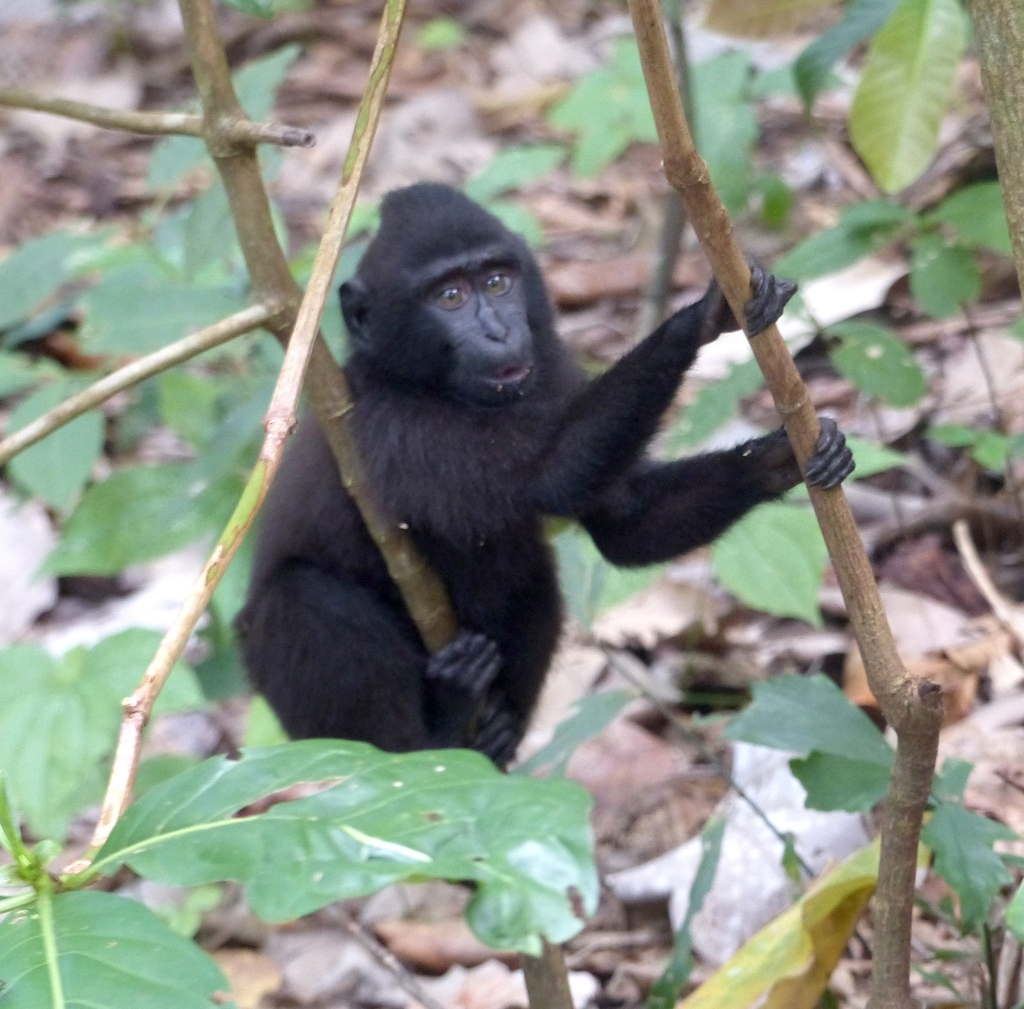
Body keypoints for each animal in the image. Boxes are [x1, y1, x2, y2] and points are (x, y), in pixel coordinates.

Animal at [237, 183, 854, 767]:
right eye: (449, 297)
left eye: (497, 282)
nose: (499, 333)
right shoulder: (394, 420)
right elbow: (549, 479)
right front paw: (697, 319)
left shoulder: (551, 368)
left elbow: (622, 524)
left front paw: (782, 458)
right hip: (287, 691)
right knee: (311, 603)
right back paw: (437, 735)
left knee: (534, 575)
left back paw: (495, 733)